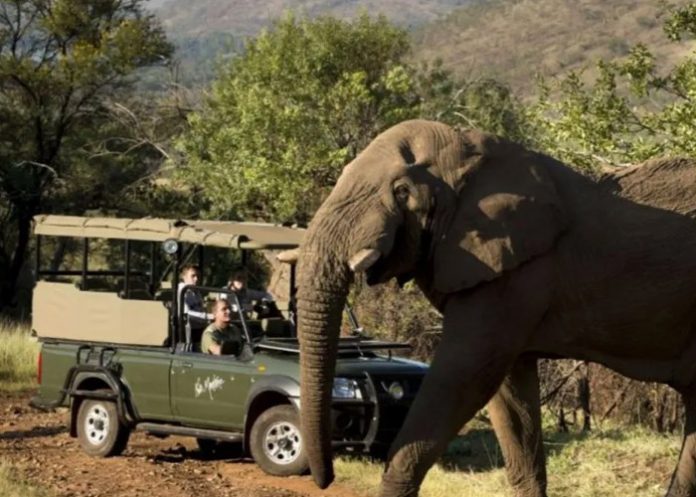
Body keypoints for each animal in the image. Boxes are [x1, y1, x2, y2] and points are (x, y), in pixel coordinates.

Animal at [294, 119, 696, 496]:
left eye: (402, 191)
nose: (324, 479)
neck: (471, 154)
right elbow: (510, 396)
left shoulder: (515, 273)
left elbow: (465, 375)